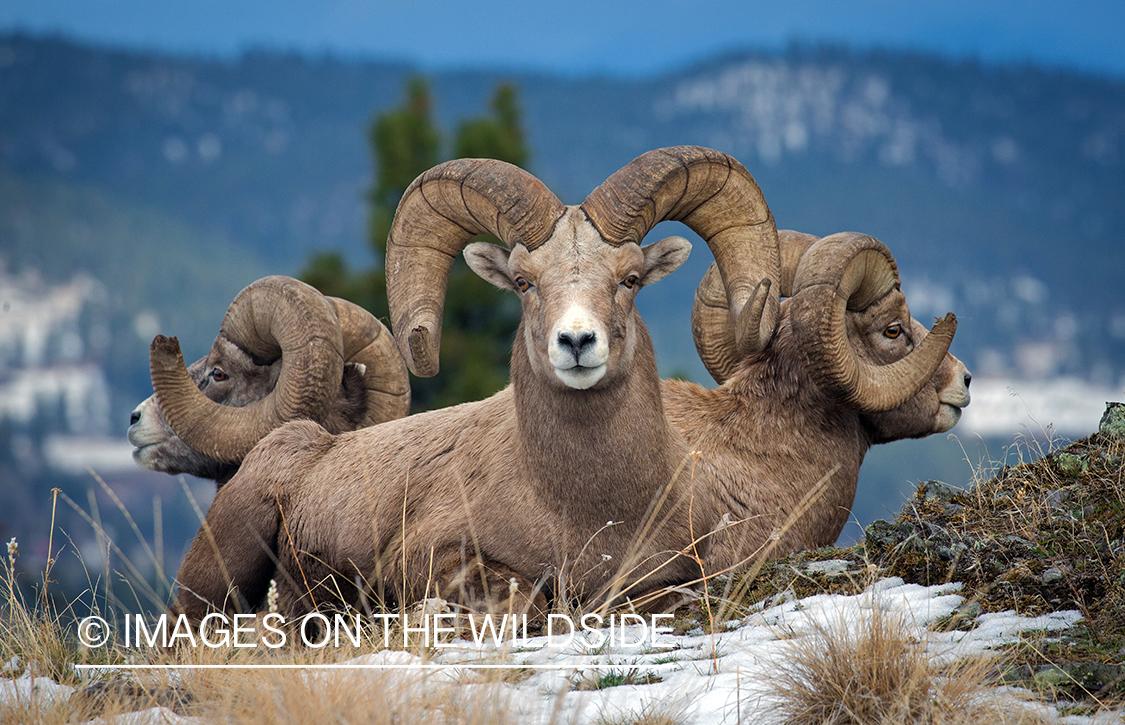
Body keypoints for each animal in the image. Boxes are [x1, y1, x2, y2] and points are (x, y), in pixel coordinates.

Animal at [166, 146, 783, 622]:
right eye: (523, 282)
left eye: (630, 279)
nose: (576, 341)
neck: (588, 507)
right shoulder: (435, 559)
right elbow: (527, 599)